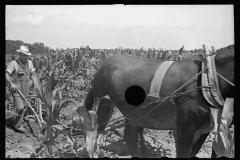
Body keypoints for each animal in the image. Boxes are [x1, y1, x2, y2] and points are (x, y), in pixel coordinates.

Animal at [83, 44, 233, 158]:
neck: (208, 78)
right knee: (96, 133)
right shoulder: (185, 128)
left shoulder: (204, 131)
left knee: (129, 137)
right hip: (102, 105)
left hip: (135, 113)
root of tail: (104, 63)